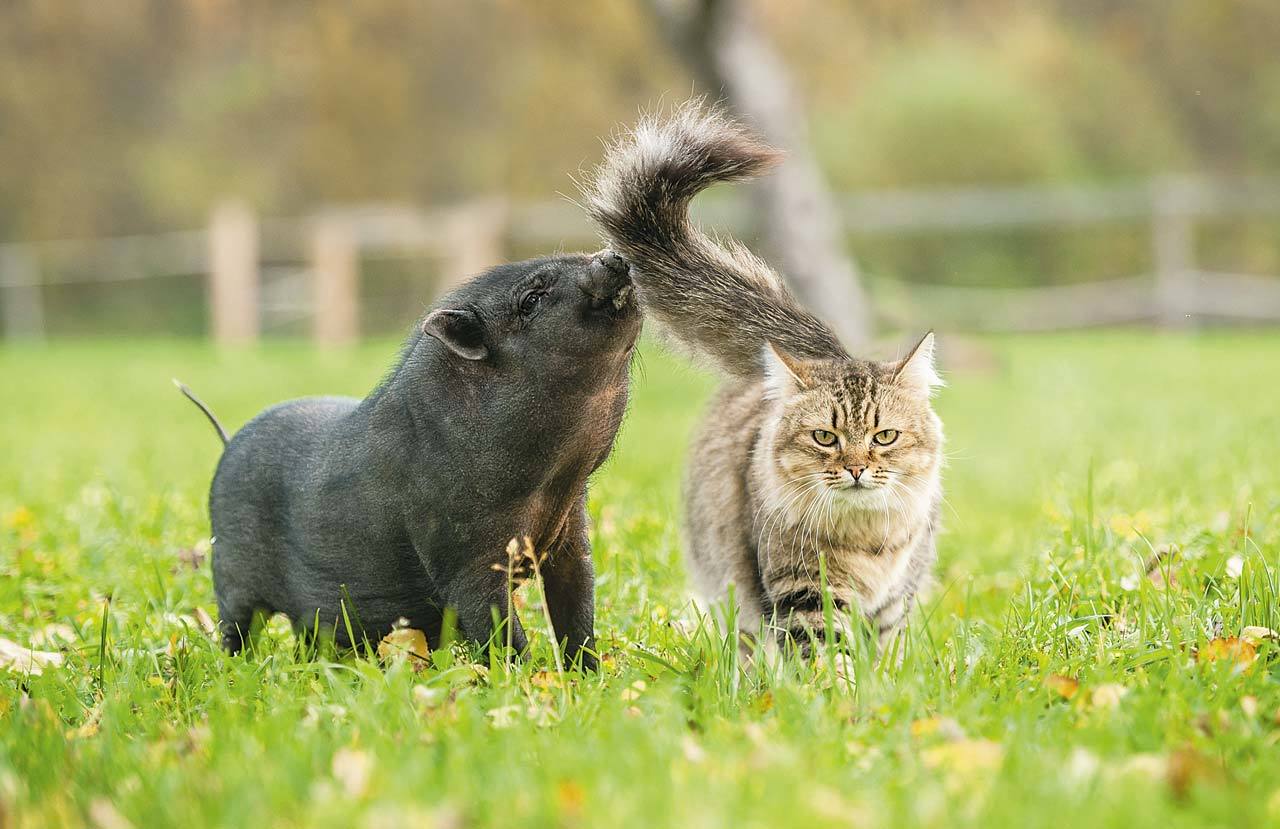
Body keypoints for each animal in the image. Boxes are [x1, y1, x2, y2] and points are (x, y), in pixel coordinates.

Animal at [180, 250, 640, 665]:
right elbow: (501, 631)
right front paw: (525, 681)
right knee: (236, 629)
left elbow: (577, 614)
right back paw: (234, 666)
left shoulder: (571, 537)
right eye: (531, 298)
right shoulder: (461, 558)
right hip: (231, 576)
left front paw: (588, 677)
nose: (613, 256)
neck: (551, 485)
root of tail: (228, 444)